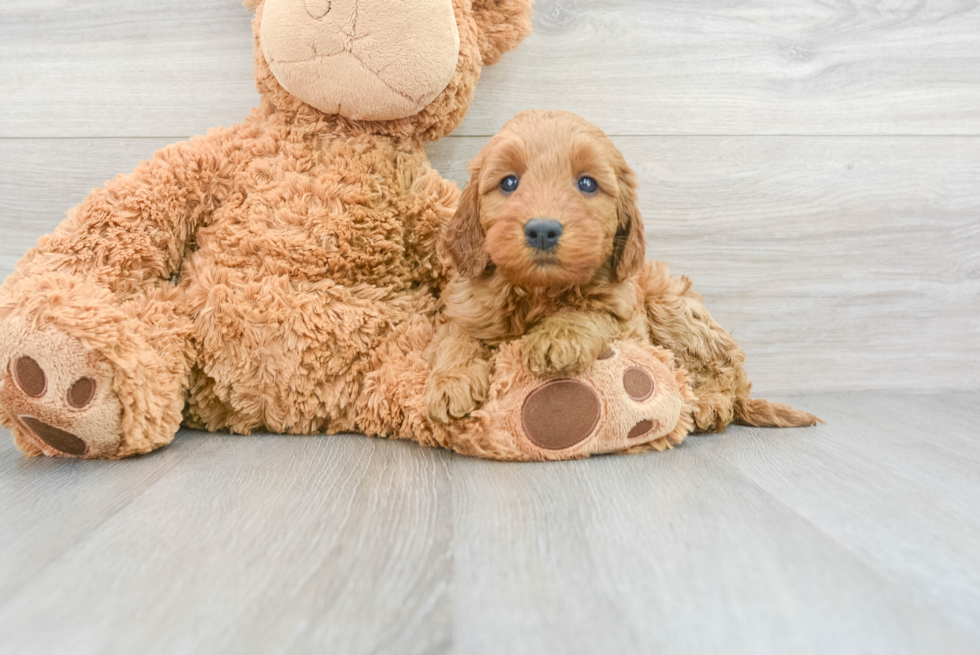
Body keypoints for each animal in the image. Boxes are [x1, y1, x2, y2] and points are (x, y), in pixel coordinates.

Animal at [424, 110, 648, 422]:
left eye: (587, 184)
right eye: (508, 183)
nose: (543, 230)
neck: (537, 289)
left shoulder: (629, 317)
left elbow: (593, 312)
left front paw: (557, 336)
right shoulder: (462, 309)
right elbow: (457, 336)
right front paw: (452, 379)